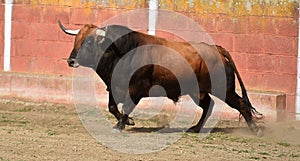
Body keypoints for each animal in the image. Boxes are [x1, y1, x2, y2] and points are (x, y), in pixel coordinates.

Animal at [58, 20, 262, 136]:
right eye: (76, 41)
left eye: (88, 43)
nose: (71, 60)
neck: (122, 51)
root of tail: (216, 49)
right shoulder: (113, 87)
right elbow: (112, 107)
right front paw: (128, 122)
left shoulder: (136, 90)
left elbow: (126, 107)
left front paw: (120, 125)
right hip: (198, 91)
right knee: (208, 106)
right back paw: (195, 128)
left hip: (224, 89)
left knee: (240, 103)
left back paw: (254, 129)